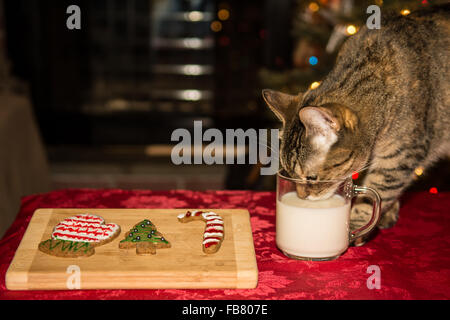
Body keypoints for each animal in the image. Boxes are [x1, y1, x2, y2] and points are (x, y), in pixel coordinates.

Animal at [262, 4, 448, 235]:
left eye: (311, 178)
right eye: (288, 173)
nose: (302, 196)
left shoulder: (402, 154)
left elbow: (378, 191)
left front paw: (356, 225)